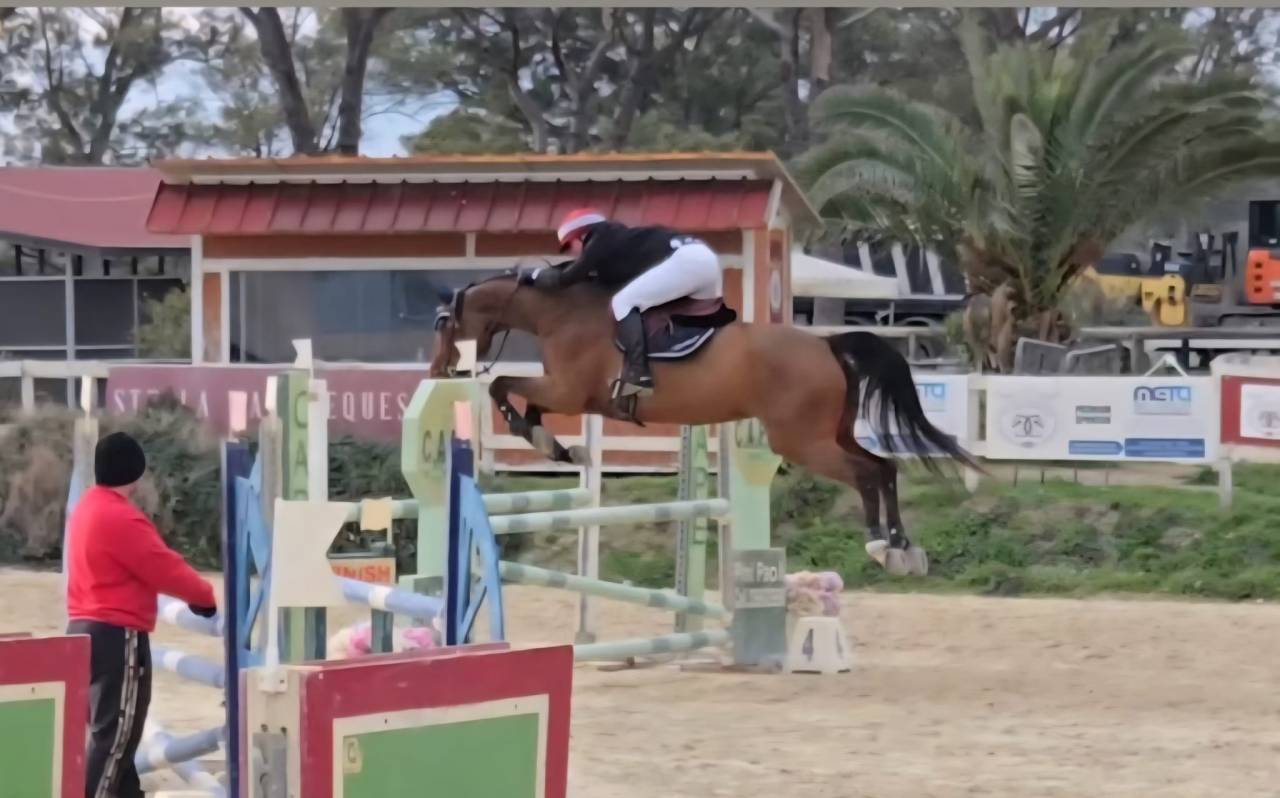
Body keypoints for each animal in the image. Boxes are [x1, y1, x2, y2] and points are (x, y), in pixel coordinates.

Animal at [428, 268, 980, 576]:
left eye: (445, 323)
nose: (437, 370)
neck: (560, 316)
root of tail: (825, 343)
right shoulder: (567, 393)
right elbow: (524, 401)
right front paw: (560, 448)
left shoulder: (568, 389)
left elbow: (503, 387)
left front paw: (547, 443)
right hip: (832, 432)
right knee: (885, 468)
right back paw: (904, 547)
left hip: (801, 440)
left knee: (866, 473)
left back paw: (878, 545)